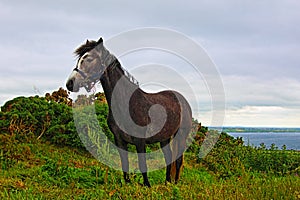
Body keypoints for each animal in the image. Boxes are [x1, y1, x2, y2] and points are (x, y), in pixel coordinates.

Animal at [66, 38, 192, 188]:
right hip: (164, 138)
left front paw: (147, 185)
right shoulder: (119, 140)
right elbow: (124, 163)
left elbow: (142, 164)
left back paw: (175, 183)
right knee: (168, 157)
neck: (126, 104)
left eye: (89, 58)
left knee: (178, 160)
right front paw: (127, 183)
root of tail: (184, 102)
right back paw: (167, 182)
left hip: (181, 135)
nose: (70, 83)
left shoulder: (140, 141)